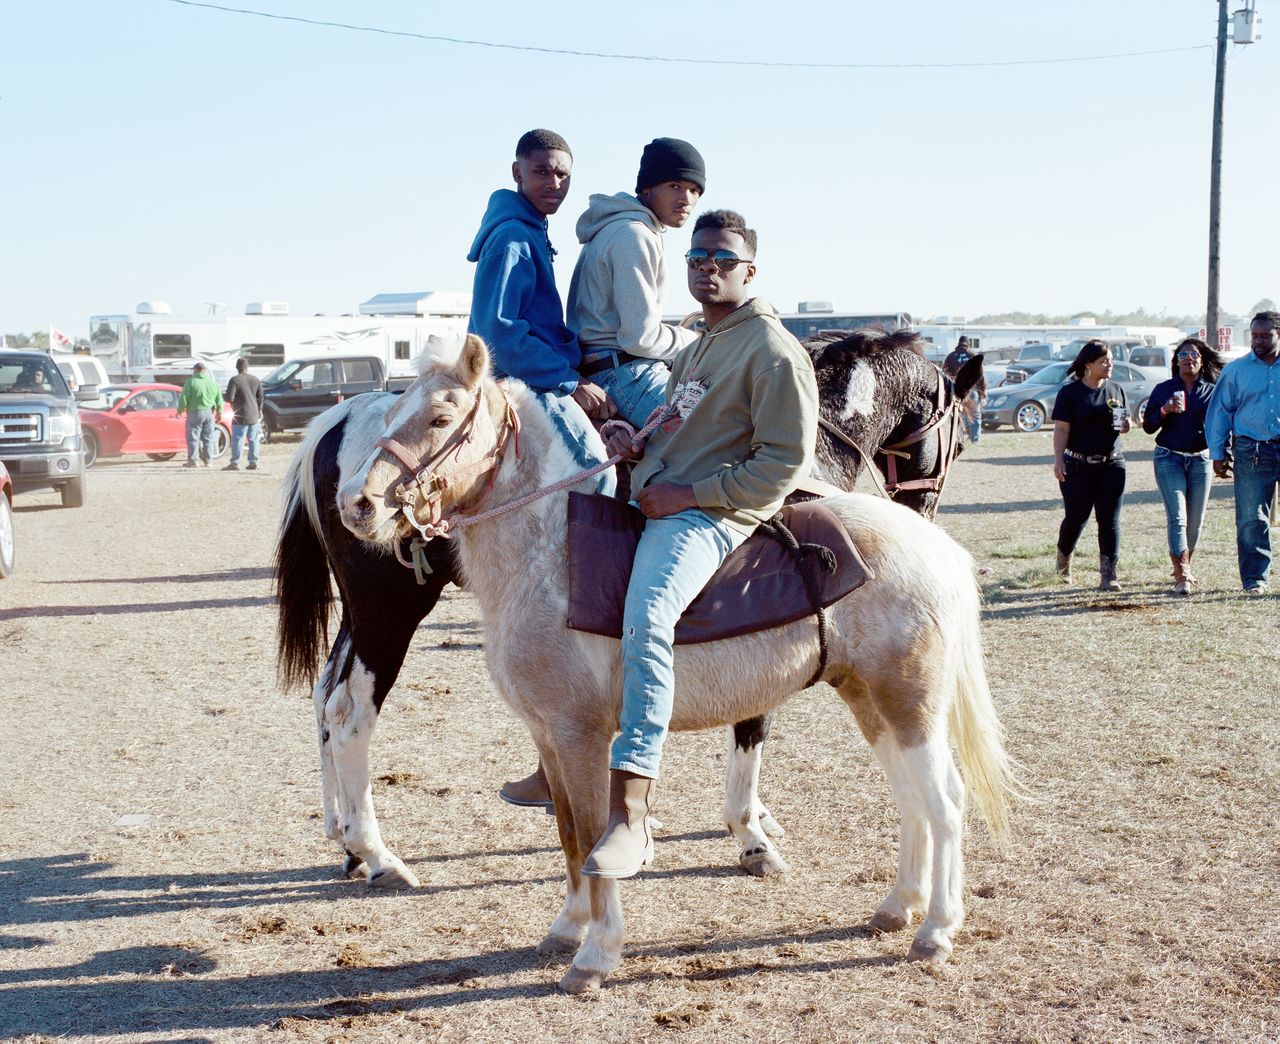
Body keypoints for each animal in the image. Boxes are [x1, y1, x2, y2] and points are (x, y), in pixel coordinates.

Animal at [337, 335, 1008, 992]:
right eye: (392, 413)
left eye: (440, 416)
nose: (357, 504)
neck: (553, 555)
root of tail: (937, 547)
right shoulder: (549, 737)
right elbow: (568, 834)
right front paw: (567, 929)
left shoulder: (581, 735)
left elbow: (593, 836)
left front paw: (597, 953)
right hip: (871, 700)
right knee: (913, 798)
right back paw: (899, 907)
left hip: (909, 704)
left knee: (945, 802)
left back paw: (936, 929)